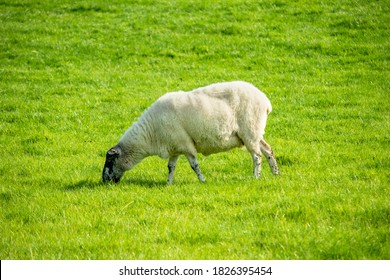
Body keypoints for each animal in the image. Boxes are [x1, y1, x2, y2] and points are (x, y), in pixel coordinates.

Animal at [102, 80, 278, 184]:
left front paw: (202, 180)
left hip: (250, 131)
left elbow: (194, 165)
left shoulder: (185, 145)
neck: (150, 133)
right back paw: (275, 173)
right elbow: (170, 166)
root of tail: (265, 101)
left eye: (110, 162)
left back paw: (256, 176)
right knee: (268, 150)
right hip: (255, 133)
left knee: (257, 156)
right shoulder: (174, 146)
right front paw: (168, 183)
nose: (104, 181)